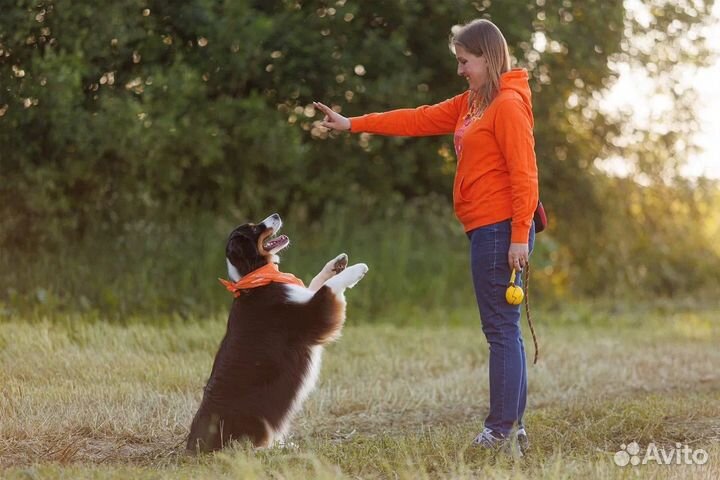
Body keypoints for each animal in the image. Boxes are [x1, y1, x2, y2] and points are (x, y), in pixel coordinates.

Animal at [187, 212, 366, 452]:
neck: (257, 277)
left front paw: (337, 264)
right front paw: (356, 269)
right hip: (257, 418)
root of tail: (193, 444)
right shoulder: (311, 316)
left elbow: (317, 282)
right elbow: (328, 289)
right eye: (254, 229)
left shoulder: (303, 297)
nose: (276, 214)